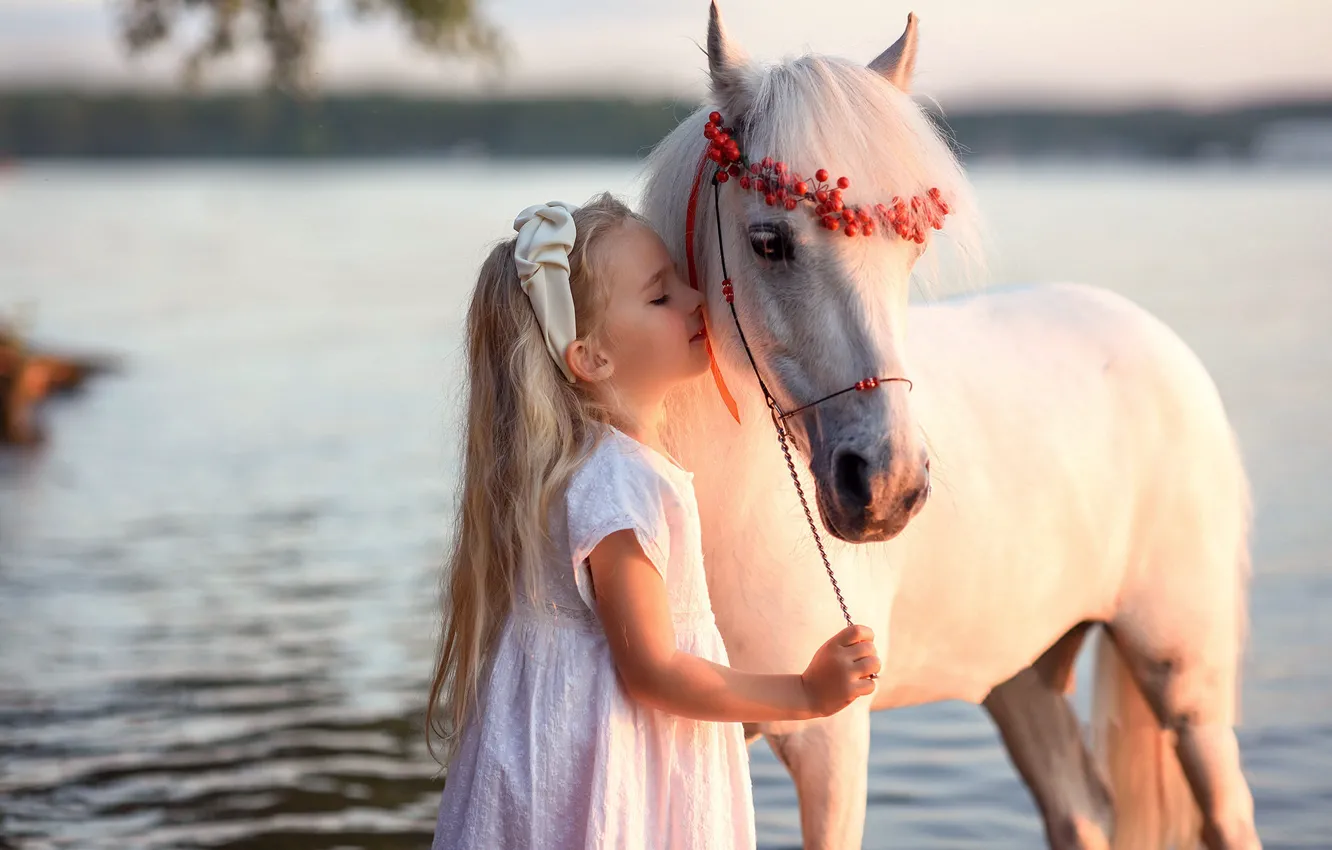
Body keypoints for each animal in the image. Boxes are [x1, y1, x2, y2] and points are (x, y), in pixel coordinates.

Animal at [639, 5, 1259, 849]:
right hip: (1021, 673)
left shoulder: (833, 742)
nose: (888, 486)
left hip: (1183, 674)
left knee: (1227, 809)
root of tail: (1158, 339)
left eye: (912, 251)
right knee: (1079, 811)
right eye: (769, 242)